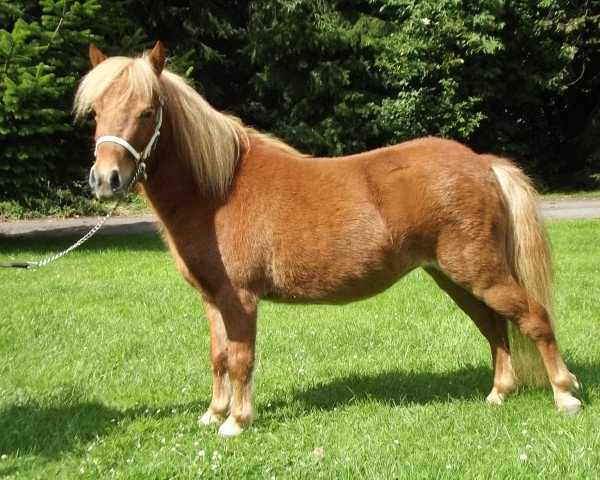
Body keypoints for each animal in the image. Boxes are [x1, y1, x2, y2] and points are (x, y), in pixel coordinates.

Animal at [75, 43, 580, 436]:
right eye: (97, 111)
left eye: (147, 111)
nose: (105, 179)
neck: (218, 190)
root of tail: (482, 163)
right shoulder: (212, 297)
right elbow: (218, 355)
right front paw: (214, 413)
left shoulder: (239, 297)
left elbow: (241, 358)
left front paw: (236, 422)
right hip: (454, 278)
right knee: (495, 329)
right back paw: (498, 394)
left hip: (480, 273)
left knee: (533, 318)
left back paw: (565, 394)